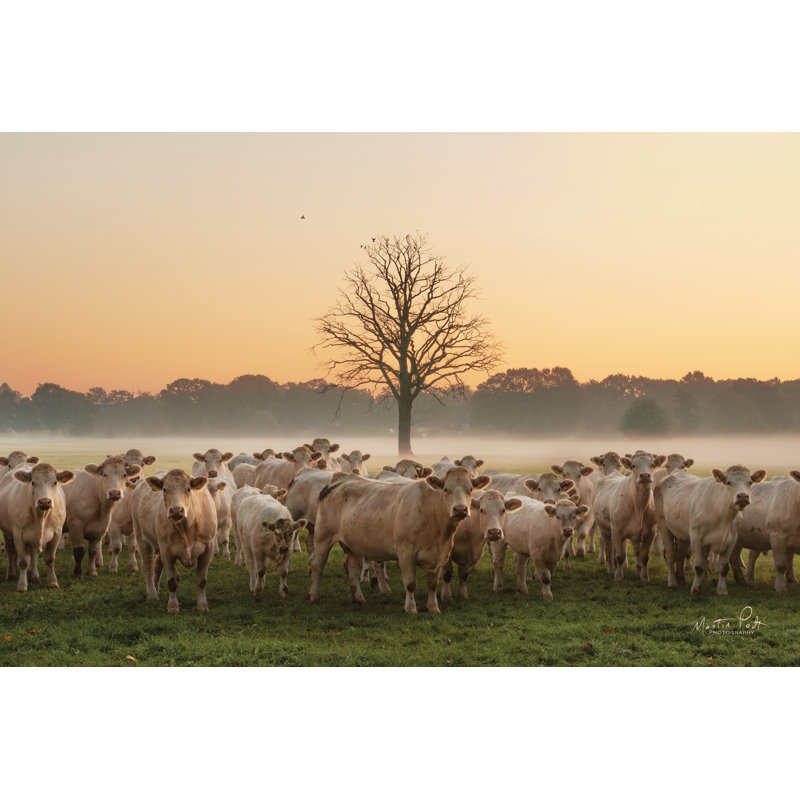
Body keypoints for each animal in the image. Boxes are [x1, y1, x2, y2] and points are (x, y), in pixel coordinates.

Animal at [0, 463, 74, 592]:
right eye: (33, 482)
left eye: (55, 482)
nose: (44, 501)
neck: (41, 516)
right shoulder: (18, 535)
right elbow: (23, 561)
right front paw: (22, 585)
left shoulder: (57, 533)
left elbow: (50, 559)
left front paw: (53, 582)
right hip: (7, 532)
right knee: (11, 550)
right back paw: (11, 574)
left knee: (34, 553)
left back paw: (35, 576)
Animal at [132, 469, 217, 614]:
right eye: (164, 489)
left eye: (188, 489)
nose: (176, 510)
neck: (186, 527)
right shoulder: (167, 551)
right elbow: (172, 581)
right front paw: (172, 606)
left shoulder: (208, 548)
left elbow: (201, 580)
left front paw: (202, 605)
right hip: (142, 537)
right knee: (148, 565)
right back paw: (152, 593)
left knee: (157, 565)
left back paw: (156, 588)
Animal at [310, 467, 491, 614]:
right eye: (446, 489)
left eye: (470, 489)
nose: (460, 509)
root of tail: (341, 478)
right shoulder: (406, 553)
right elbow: (411, 583)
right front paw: (410, 608)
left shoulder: (440, 555)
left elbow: (433, 584)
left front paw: (433, 608)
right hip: (323, 537)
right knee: (317, 565)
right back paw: (314, 596)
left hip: (353, 544)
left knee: (351, 568)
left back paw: (359, 598)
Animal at [593, 452, 665, 582]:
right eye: (633, 466)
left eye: (652, 465)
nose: (645, 476)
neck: (638, 506)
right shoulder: (616, 530)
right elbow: (619, 555)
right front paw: (618, 576)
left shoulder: (651, 532)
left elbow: (643, 556)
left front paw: (644, 576)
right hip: (605, 529)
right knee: (609, 549)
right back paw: (611, 569)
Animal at [655, 464, 766, 594]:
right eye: (728, 482)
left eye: (750, 482)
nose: (742, 496)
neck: (722, 515)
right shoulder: (696, 537)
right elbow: (699, 566)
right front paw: (696, 589)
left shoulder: (731, 540)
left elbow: (723, 567)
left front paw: (722, 590)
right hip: (663, 524)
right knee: (670, 555)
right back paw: (672, 582)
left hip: (682, 533)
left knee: (679, 554)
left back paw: (681, 579)